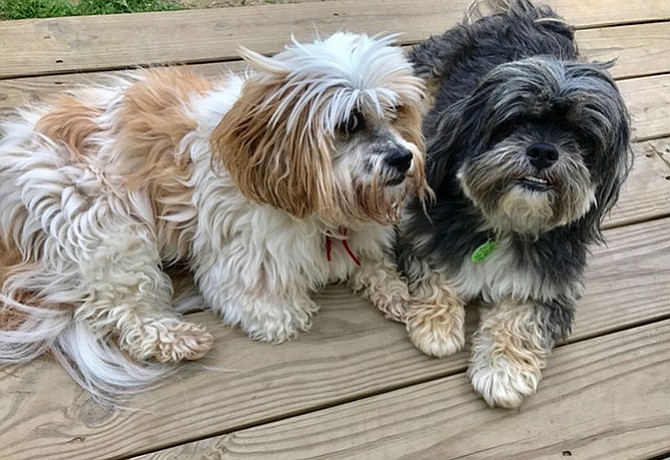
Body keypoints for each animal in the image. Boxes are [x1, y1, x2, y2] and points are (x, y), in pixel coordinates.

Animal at [0, 32, 428, 400]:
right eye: (350, 123)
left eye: (395, 110)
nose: (402, 158)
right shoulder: (241, 266)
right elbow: (277, 312)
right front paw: (285, 314)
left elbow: (372, 265)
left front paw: (396, 291)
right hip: (108, 229)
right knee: (123, 309)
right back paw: (177, 338)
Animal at [396, 0, 632, 410]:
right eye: (514, 122)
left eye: (581, 137)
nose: (544, 151)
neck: (506, 221)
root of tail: (524, 14)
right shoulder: (423, 230)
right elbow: (432, 273)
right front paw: (436, 325)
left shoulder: (552, 282)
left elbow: (522, 318)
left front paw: (503, 372)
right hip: (429, 69)